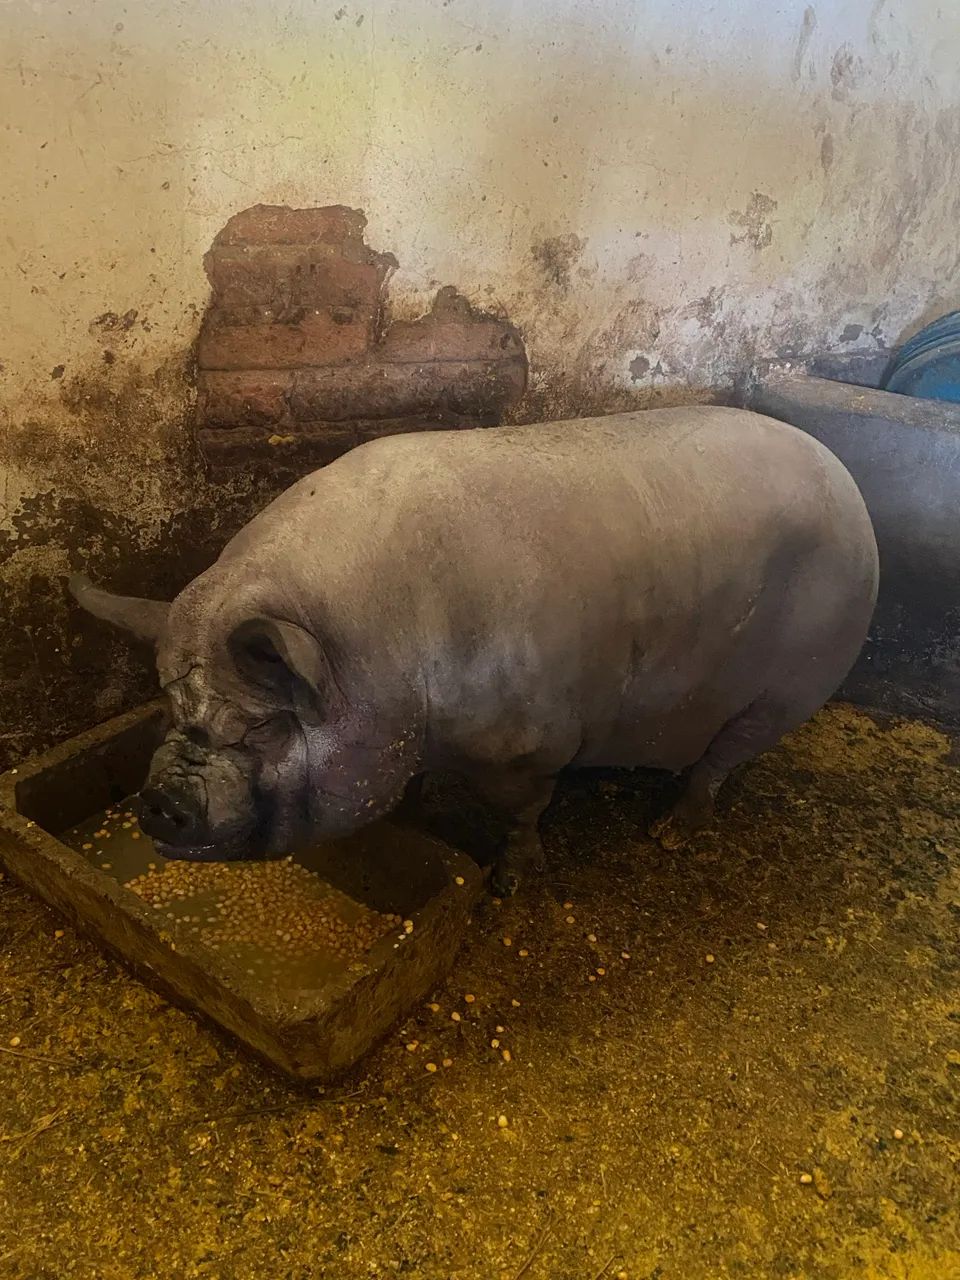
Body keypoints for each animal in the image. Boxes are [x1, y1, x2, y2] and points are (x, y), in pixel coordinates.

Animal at [69, 406, 878, 896]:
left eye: (264, 726)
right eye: (169, 702)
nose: (160, 800)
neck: (387, 653)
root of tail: (850, 488)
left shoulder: (528, 745)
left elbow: (524, 813)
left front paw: (511, 884)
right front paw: (412, 818)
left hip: (792, 687)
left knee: (721, 759)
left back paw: (672, 835)